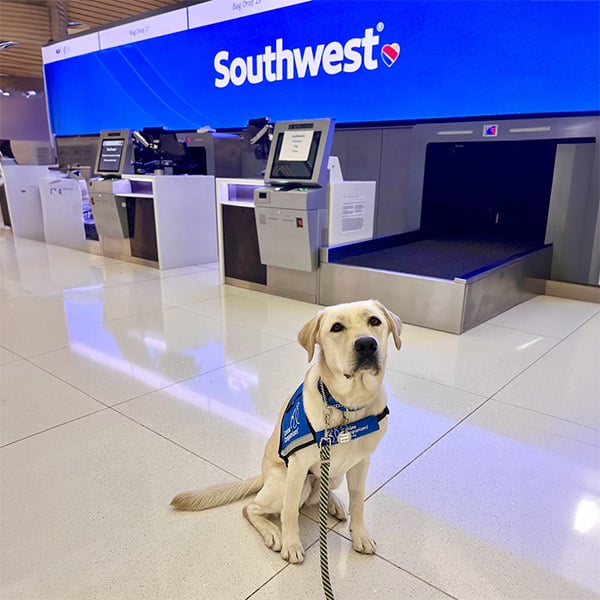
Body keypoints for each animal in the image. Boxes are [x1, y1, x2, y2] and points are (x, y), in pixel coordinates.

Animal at [171, 298, 400, 564]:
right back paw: (272, 531)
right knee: (252, 508)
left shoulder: (361, 463)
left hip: (334, 476)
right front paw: (291, 544)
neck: (347, 405)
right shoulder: (298, 467)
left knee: (321, 495)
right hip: (287, 484)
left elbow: (358, 502)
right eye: (336, 327)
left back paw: (334, 504)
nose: (366, 344)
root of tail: (262, 475)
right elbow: (289, 511)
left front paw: (360, 534)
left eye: (374, 321)